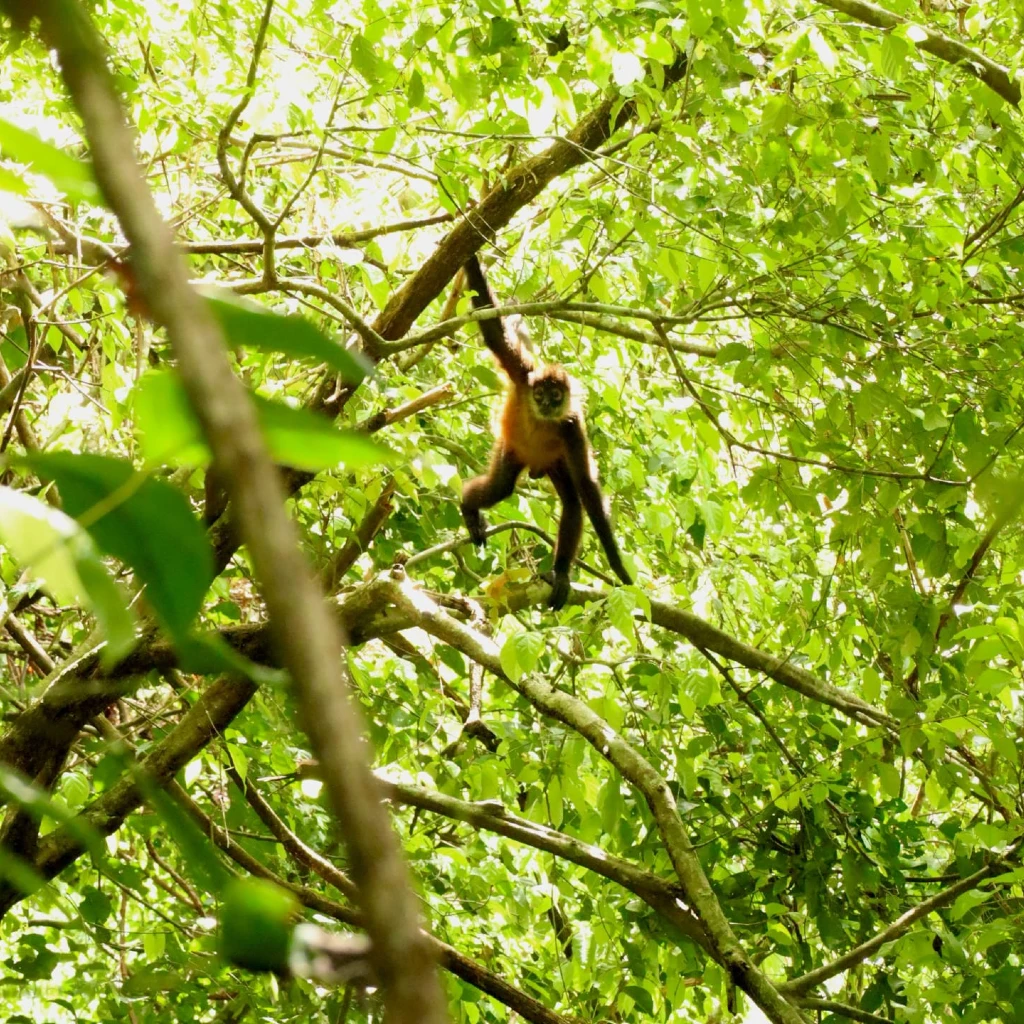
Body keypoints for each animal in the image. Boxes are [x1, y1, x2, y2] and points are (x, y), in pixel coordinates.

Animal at [460, 254, 632, 610]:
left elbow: (588, 489)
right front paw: (468, 254)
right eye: (539, 394)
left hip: (554, 461)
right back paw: (469, 507)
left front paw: (618, 566)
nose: (546, 403)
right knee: (500, 487)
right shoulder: (523, 373)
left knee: (572, 501)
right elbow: (494, 333)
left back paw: (561, 573)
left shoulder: (572, 426)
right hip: (510, 448)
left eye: (555, 395)